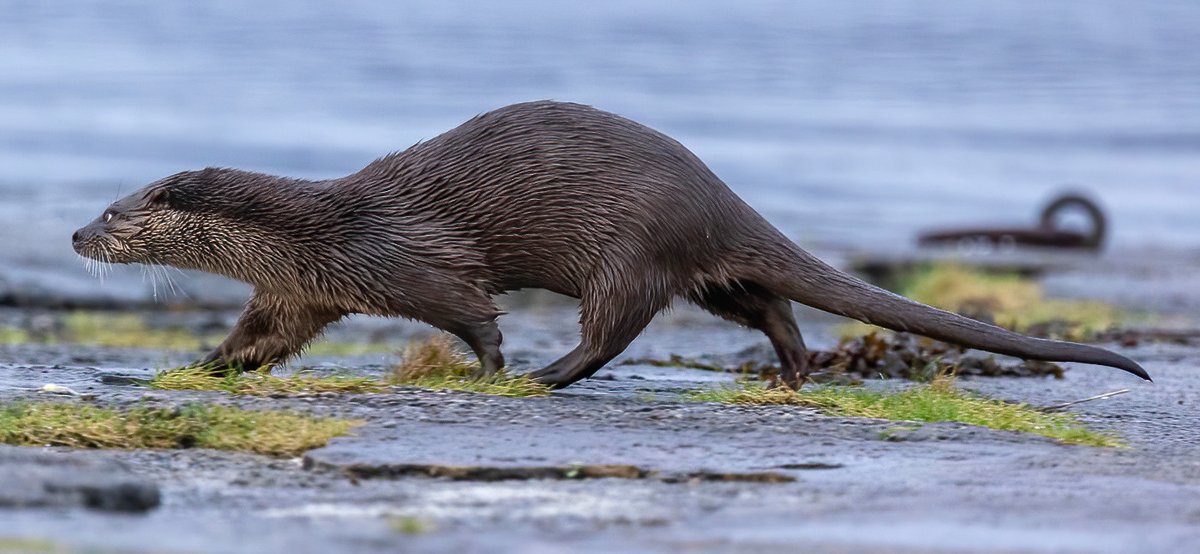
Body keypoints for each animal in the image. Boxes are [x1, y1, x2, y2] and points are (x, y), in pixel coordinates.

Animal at [72, 100, 1150, 388]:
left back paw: (545, 376)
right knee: (763, 299)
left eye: (119, 213)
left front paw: (490, 366)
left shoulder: (406, 260)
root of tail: (714, 196)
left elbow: (472, 309)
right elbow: (260, 338)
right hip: (704, 268)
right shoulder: (306, 288)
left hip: (627, 245)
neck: (315, 232)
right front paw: (202, 365)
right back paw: (793, 371)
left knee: (613, 327)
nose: (79, 229)